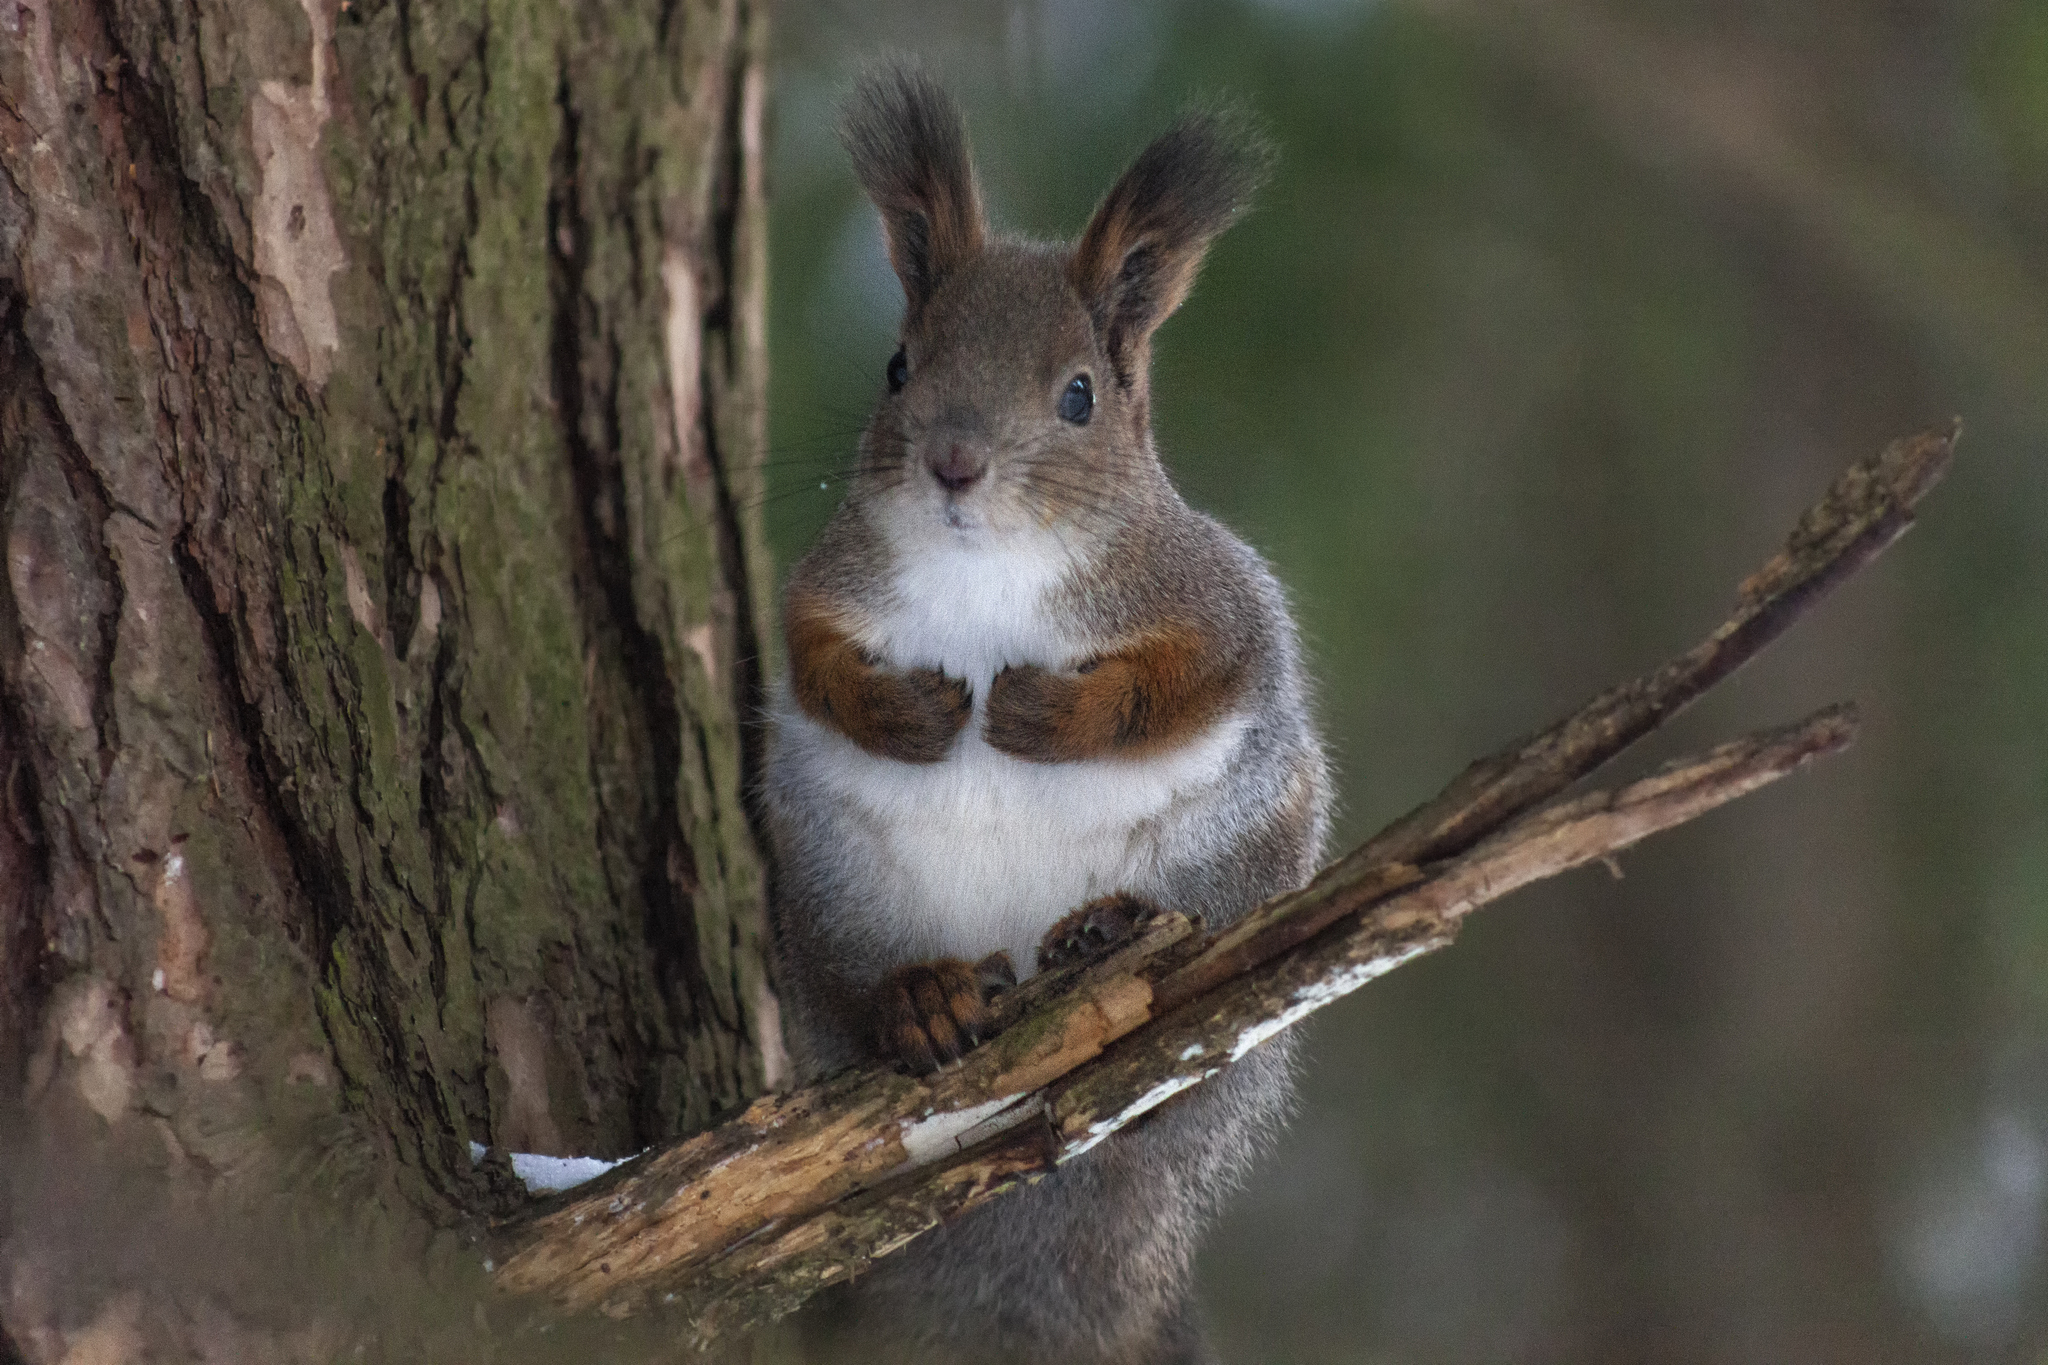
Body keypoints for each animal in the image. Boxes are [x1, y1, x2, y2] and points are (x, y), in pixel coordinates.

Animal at [765, 69, 1327, 1365]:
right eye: (897, 366)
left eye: (1078, 396)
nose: (953, 464)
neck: (988, 571)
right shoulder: (825, 589)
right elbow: (811, 665)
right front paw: (906, 712)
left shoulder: (1211, 601)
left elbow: (1189, 680)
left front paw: (1041, 712)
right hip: (824, 893)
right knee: (856, 997)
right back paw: (918, 1000)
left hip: (1246, 863)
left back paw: (1107, 942)